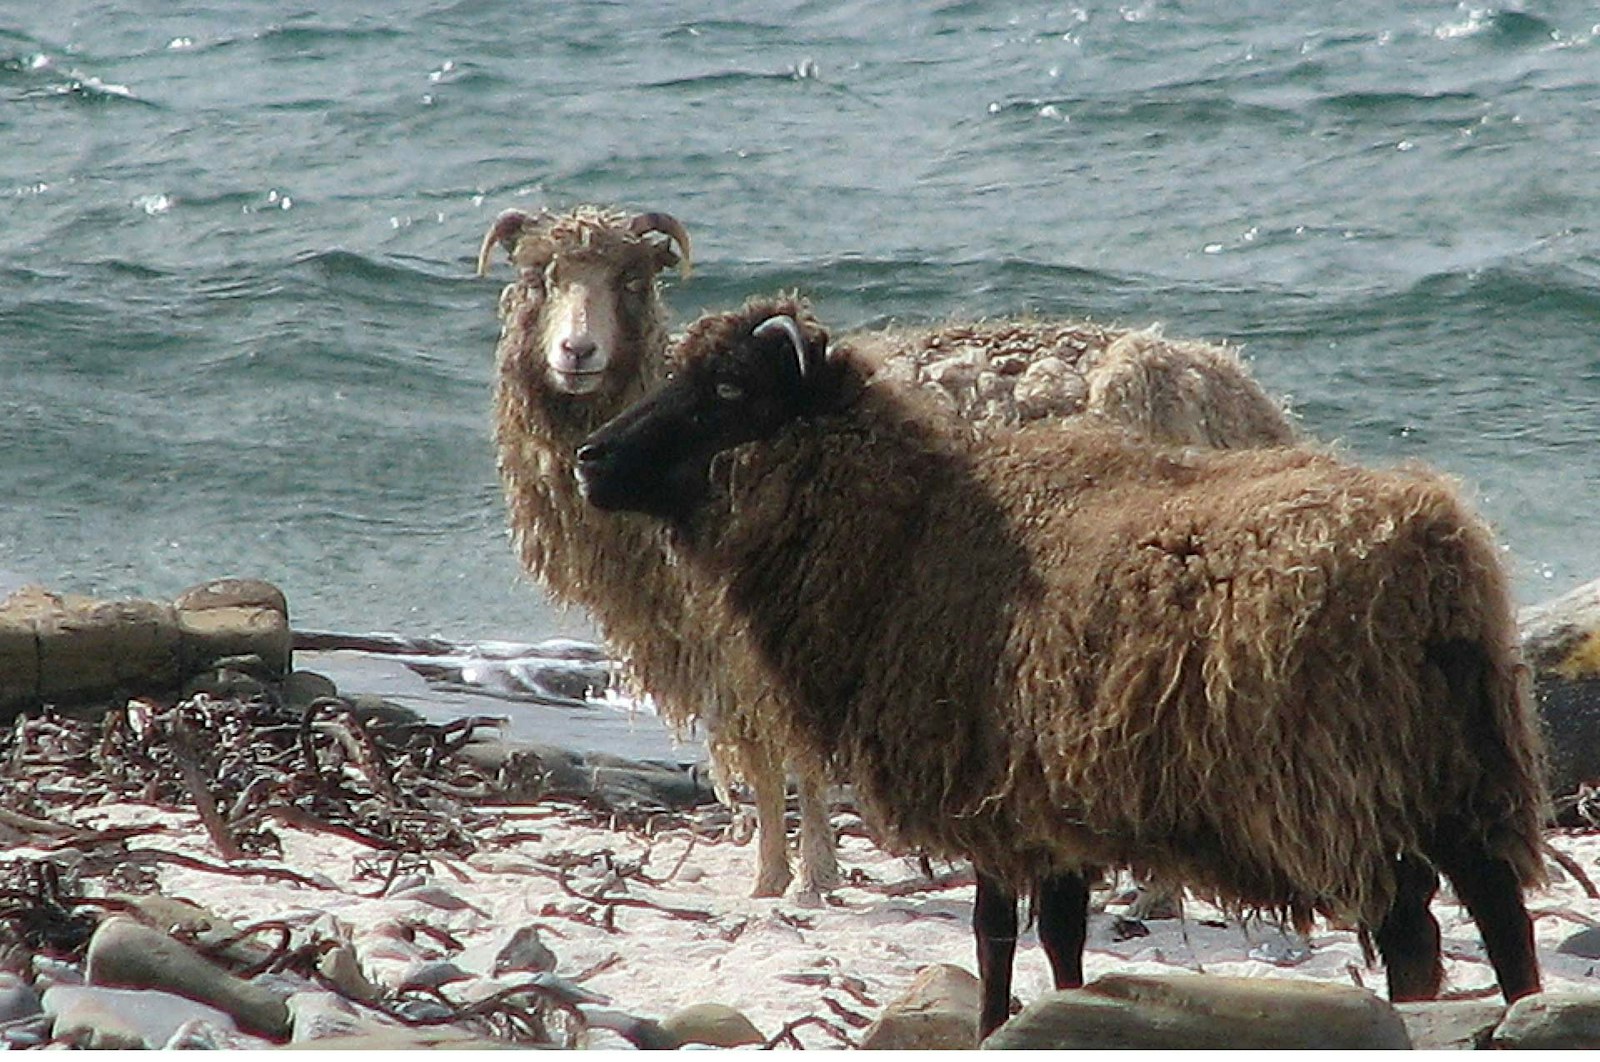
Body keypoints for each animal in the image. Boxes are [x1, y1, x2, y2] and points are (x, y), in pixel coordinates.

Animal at [573, 295, 1549, 1038]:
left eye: (728, 387)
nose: (590, 459)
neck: (911, 533)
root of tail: (1434, 547)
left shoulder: (992, 798)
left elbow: (996, 936)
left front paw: (995, 1023)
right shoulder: (1051, 802)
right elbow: (1065, 940)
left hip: (1347, 785)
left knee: (1414, 932)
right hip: (1464, 771)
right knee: (1501, 915)